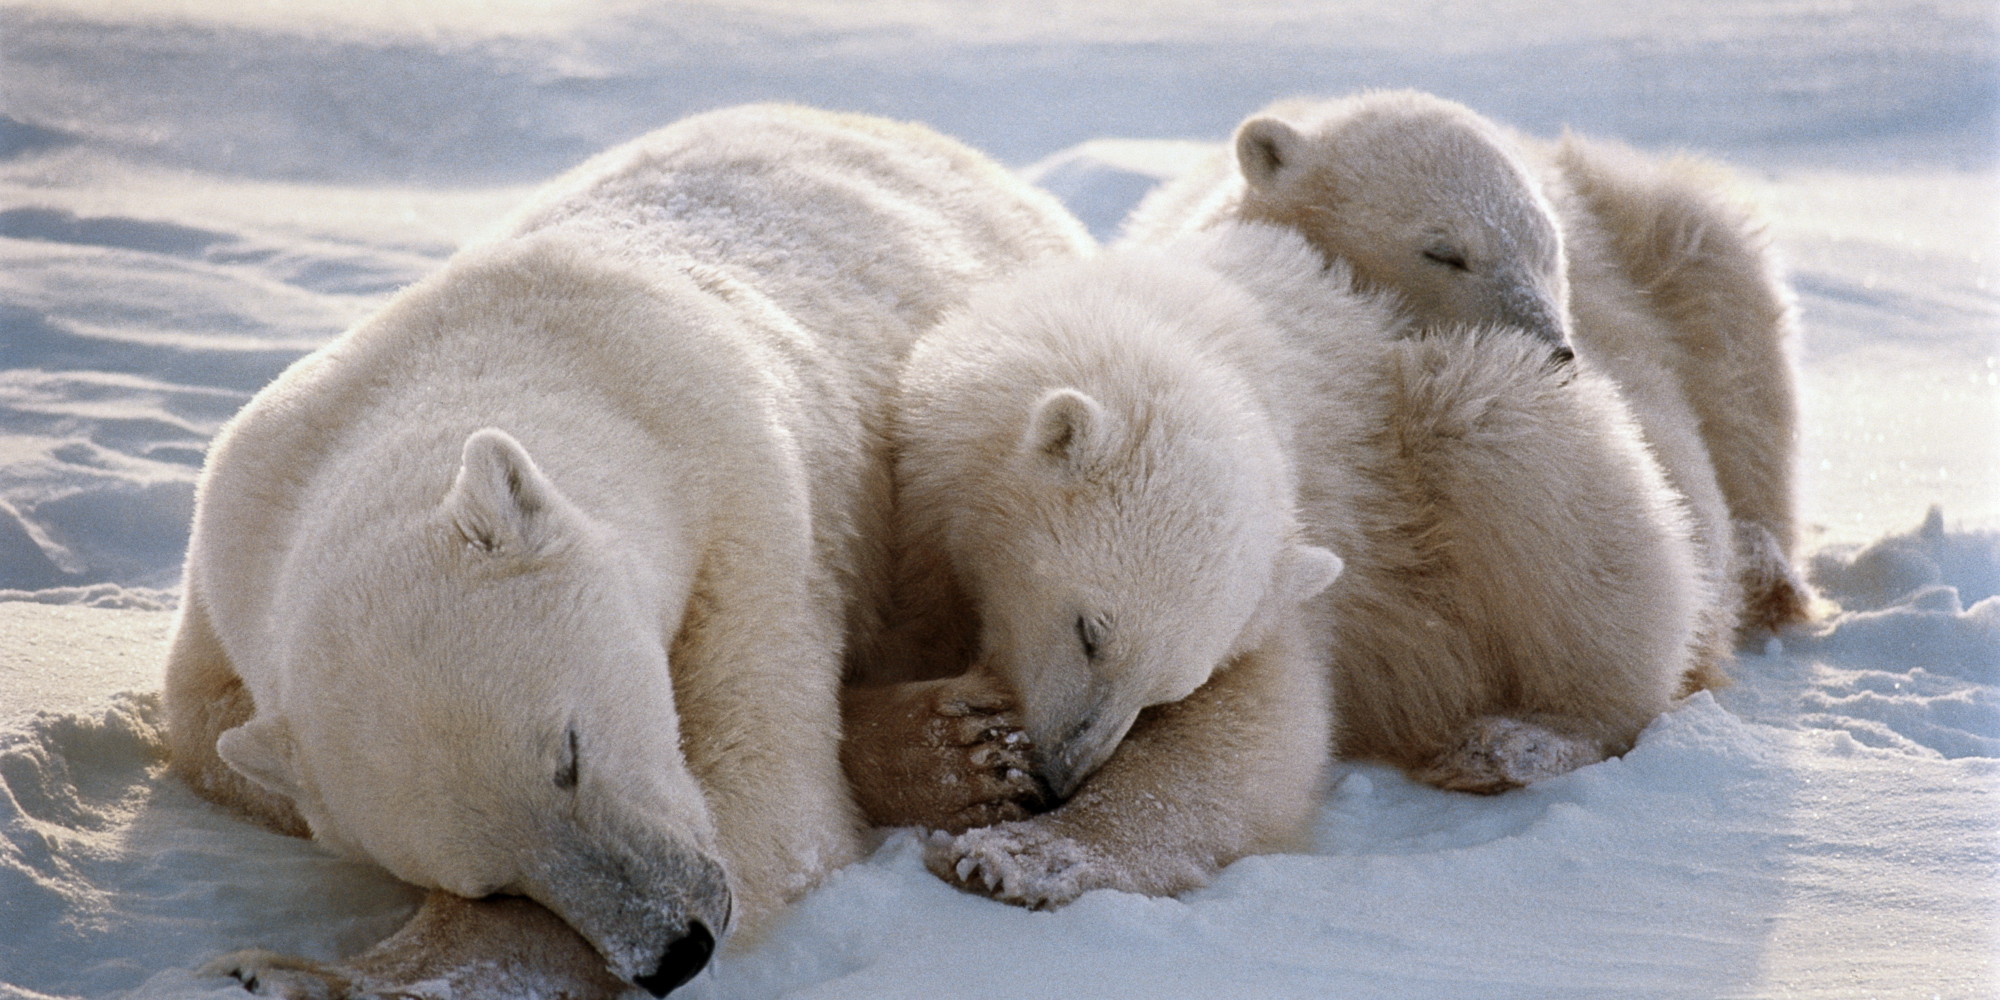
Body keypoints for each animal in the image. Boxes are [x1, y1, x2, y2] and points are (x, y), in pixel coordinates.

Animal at [162, 105, 1088, 996]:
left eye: (569, 756)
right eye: (486, 878)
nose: (676, 949)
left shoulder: (740, 502)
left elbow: (762, 794)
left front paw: (313, 974)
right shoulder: (233, 534)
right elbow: (204, 734)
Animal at [908, 223, 1704, 912]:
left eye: (1168, 690)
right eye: (1089, 632)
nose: (1058, 775)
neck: (1143, 330)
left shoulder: (1296, 565)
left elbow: (1262, 726)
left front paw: (1015, 857)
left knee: (1506, 438)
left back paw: (1507, 744)